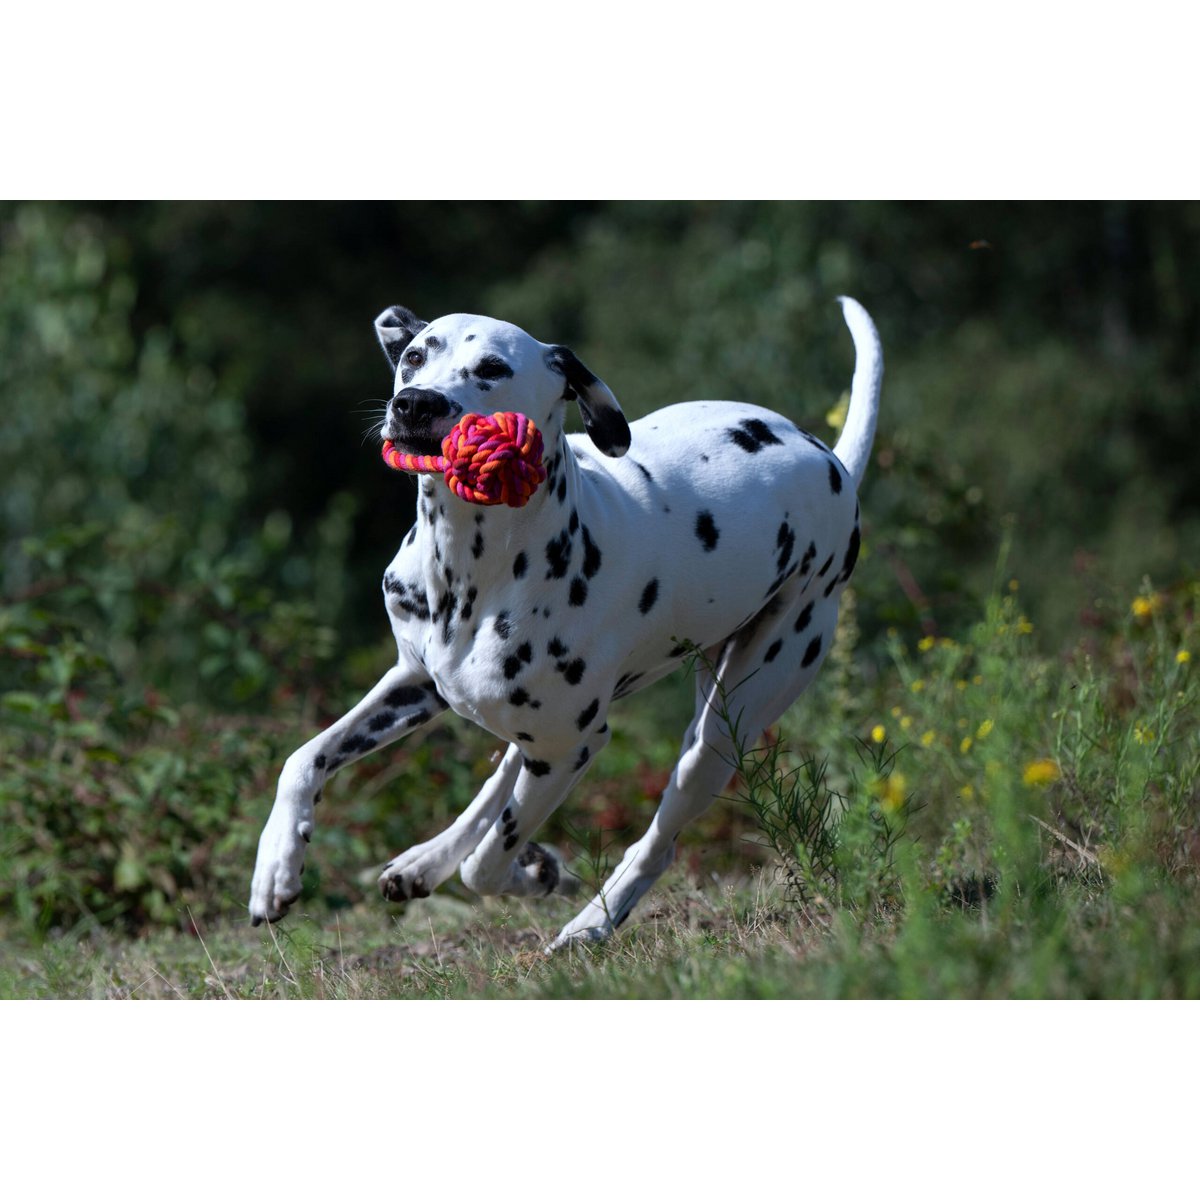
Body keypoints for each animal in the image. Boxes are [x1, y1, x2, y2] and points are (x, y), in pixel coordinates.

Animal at [248, 292, 883, 945]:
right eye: (415, 357)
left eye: (493, 369)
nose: (416, 402)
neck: (472, 568)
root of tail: (832, 461)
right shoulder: (417, 685)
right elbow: (303, 760)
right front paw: (276, 869)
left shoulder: (570, 747)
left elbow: (485, 867)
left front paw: (534, 872)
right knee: (501, 776)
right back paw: (426, 861)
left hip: (719, 732)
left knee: (657, 841)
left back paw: (591, 924)